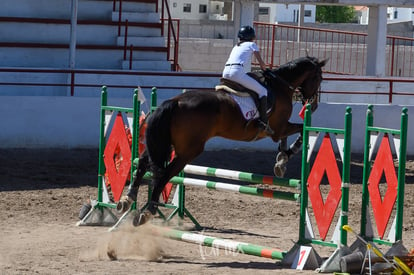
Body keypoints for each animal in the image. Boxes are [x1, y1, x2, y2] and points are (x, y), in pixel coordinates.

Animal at [116, 56, 326, 226]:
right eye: (319, 78)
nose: (314, 105)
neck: (281, 85)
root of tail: (175, 102)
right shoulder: (279, 127)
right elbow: (299, 131)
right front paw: (287, 154)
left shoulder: (278, 129)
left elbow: (286, 139)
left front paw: (280, 162)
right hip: (188, 151)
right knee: (165, 174)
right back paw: (148, 211)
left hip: (165, 144)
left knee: (144, 162)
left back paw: (127, 199)